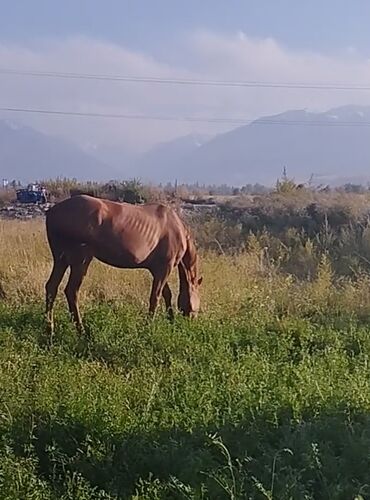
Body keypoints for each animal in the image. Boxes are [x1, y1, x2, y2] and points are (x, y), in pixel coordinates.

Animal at [44, 194, 204, 336]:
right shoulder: (165, 268)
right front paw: (148, 326)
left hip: (61, 260)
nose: (192, 321)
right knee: (71, 291)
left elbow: (166, 294)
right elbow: (155, 297)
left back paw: (50, 330)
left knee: (51, 287)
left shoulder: (156, 270)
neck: (177, 229)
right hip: (81, 261)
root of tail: (52, 212)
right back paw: (81, 331)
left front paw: (171, 320)